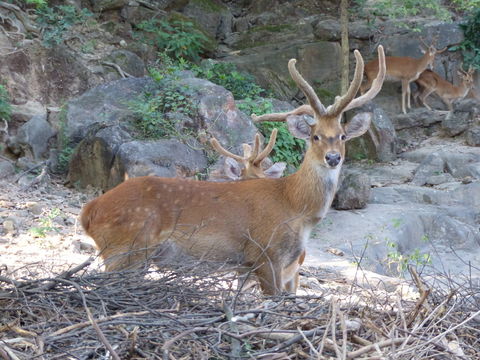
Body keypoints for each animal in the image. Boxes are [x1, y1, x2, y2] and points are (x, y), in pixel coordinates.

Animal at [79, 45, 386, 294]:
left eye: (342, 136)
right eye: (315, 136)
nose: (333, 158)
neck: (296, 208)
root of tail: (88, 212)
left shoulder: (275, 266)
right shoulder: (265, 253)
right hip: (124, 247)